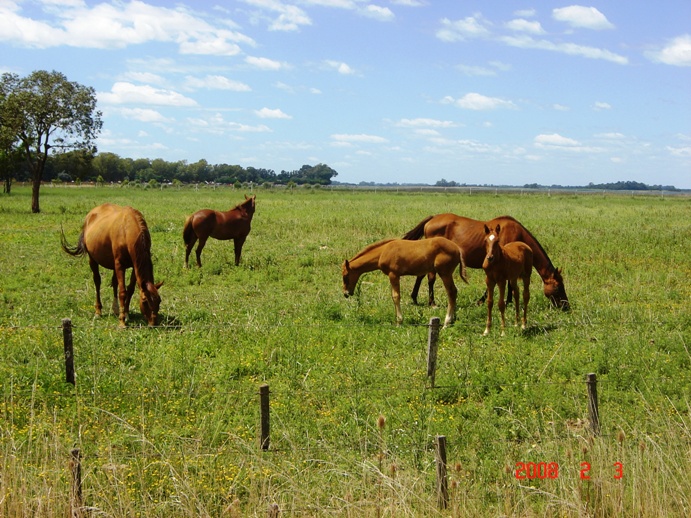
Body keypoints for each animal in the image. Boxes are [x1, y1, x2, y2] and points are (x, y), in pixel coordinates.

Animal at [342, 238, 470, 328]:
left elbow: (396, 296)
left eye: (345, 276)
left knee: (451, 292)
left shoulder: (393, 275)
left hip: (445, 273)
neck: (383, 251)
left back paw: (446, 323)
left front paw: (399, 322)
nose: (346, 293)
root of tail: (457, 248)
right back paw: (452, 320)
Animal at [402, 213, 572, 310]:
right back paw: (431, 302)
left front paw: (508, 301)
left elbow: (509, 283)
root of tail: (432, 219)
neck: (517, 234)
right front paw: (482, 301)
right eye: (558, 287)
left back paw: (415, 298)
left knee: (421, 275)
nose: (566, 306)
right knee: (430, 278)